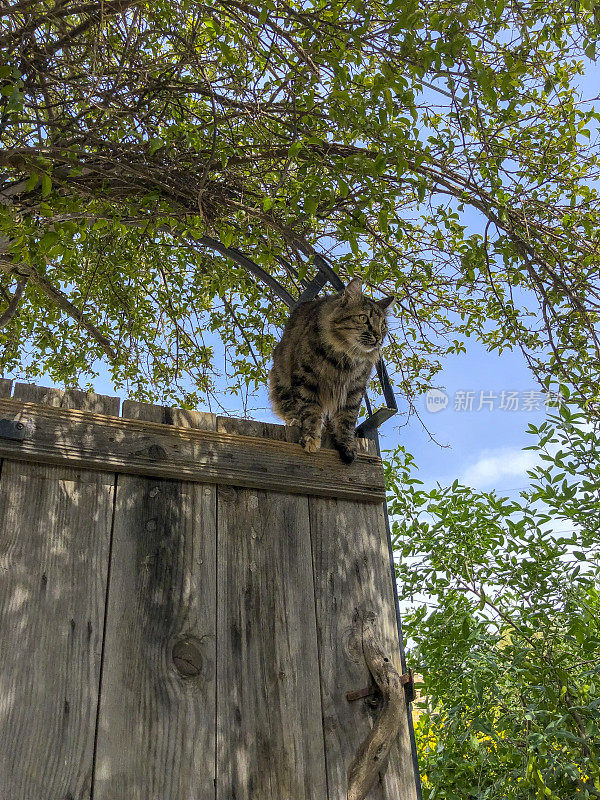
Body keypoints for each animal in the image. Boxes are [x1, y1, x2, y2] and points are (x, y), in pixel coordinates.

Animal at [268, 278, 394, 462]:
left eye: (383, 326)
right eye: (363, 318)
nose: (378, 337)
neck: (345, 359)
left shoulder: (355, 389)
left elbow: (347, 420)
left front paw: (347, 446)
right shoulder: (307, 379)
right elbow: (310, 411)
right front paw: (311, 439)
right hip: (281, 382)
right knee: (290, 409)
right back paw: (296, 422)